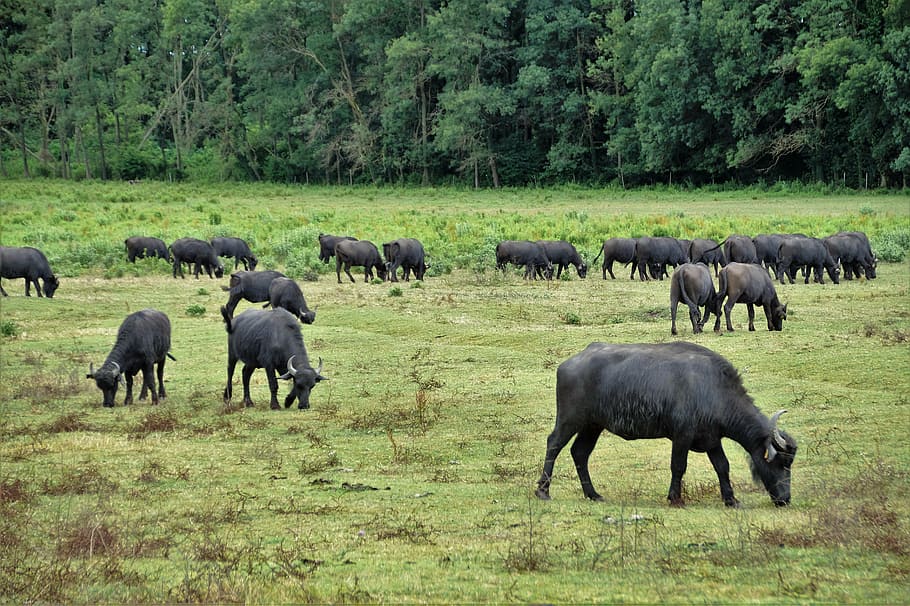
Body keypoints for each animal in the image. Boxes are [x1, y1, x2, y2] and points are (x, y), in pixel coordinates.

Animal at [535, 341, 797, 507]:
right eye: (781, 463)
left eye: (790, 463)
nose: (785, 499)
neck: (713, 389)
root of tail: (569, 364)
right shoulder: (682, 436)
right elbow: (678, 466)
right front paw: (675, 498)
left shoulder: (712, 439)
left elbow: (722, 466)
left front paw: (731, 499)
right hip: (571, 418)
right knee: (554, 444)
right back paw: (543, 491)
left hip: (593, 425)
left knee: (580, 452)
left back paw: (592, 494)